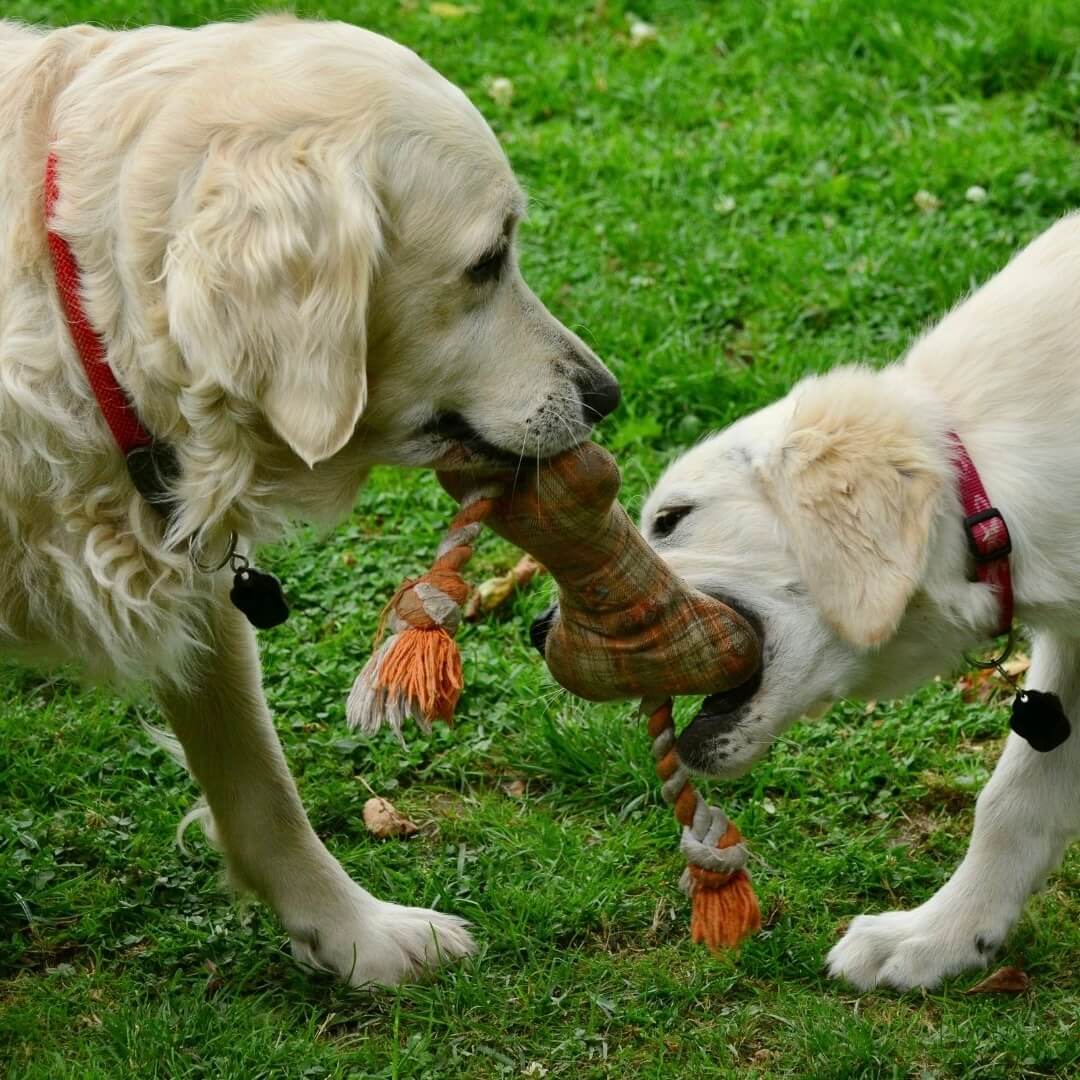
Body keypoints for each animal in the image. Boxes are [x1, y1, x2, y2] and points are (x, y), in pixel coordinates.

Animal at [0, 16, 617, 989]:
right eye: (487, 262)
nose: (607, 396)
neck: (83, 329)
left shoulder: (204, 588)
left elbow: (262, 788)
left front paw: (358, 933)